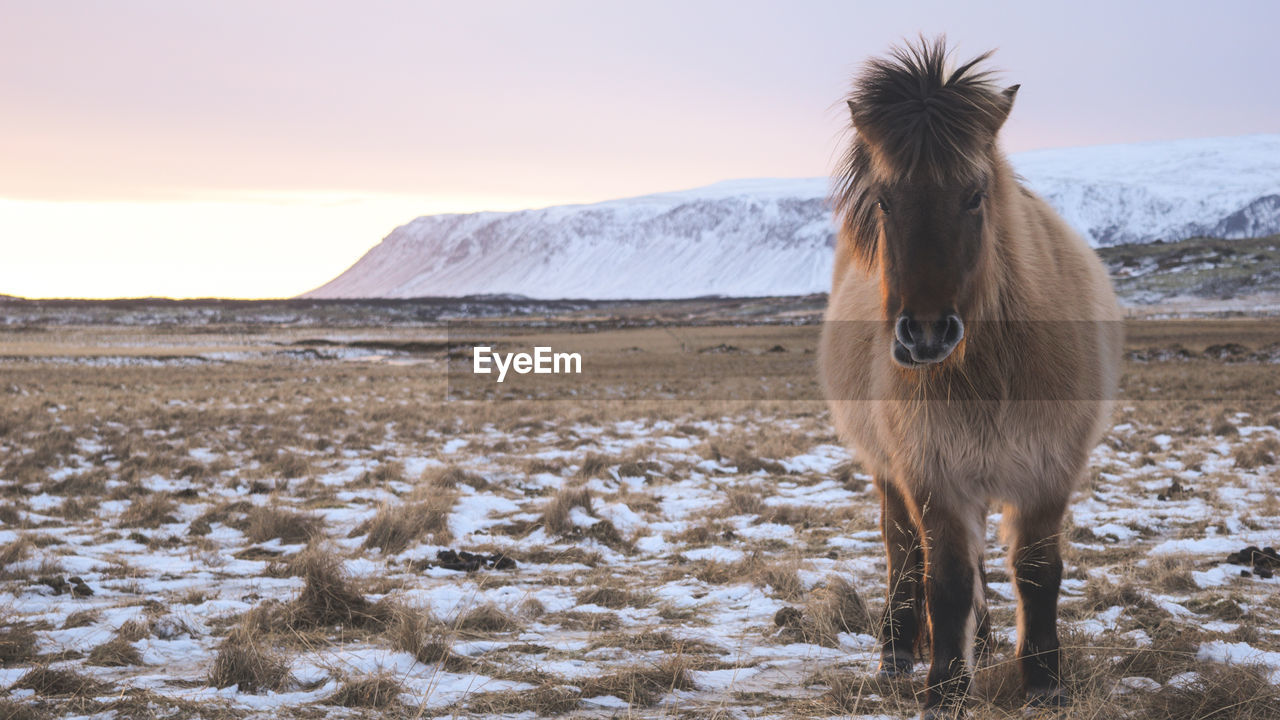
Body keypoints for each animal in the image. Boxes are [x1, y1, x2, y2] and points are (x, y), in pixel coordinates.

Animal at [819, 39, 1121, 717]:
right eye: (885, 200)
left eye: (975, 195)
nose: (926, 334)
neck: (992, 368)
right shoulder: (932, 474)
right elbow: (949, 580)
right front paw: (945, 687)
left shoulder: (1047, 470)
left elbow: (1036, 572)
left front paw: (1044, 681)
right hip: (890, 474)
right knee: (904, 553)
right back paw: (900, 652)